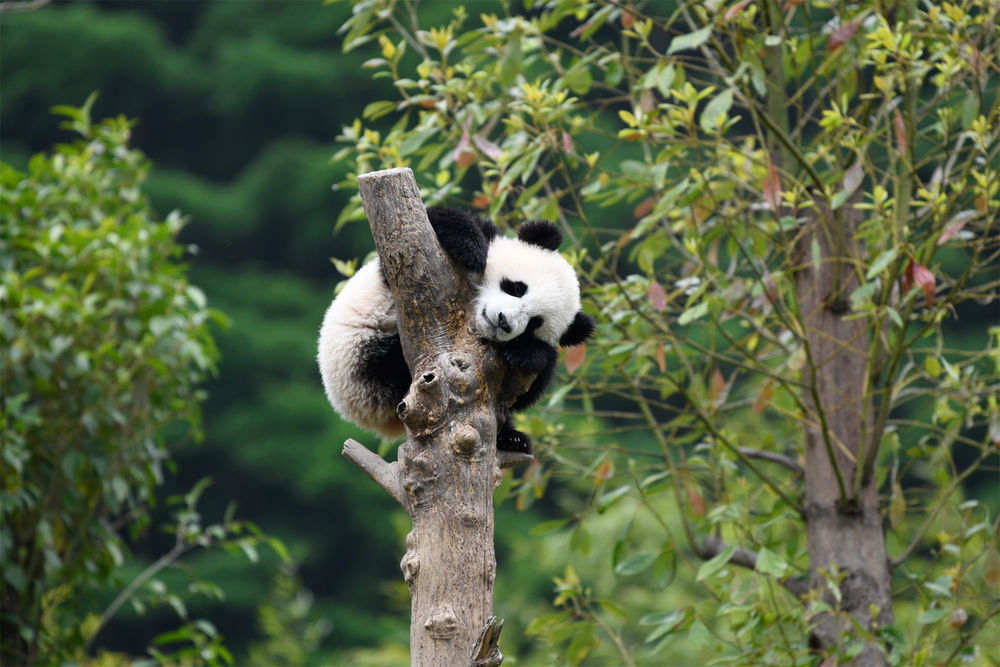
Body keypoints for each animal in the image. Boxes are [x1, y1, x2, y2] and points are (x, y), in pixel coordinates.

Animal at [316, 207, 588, 454]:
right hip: (365, 358)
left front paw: (525, 352)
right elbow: (417, 234)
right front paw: (471, 249)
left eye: (534, 323)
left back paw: (512, 440)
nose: (503, 322)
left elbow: (528, 388)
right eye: (516, 288)